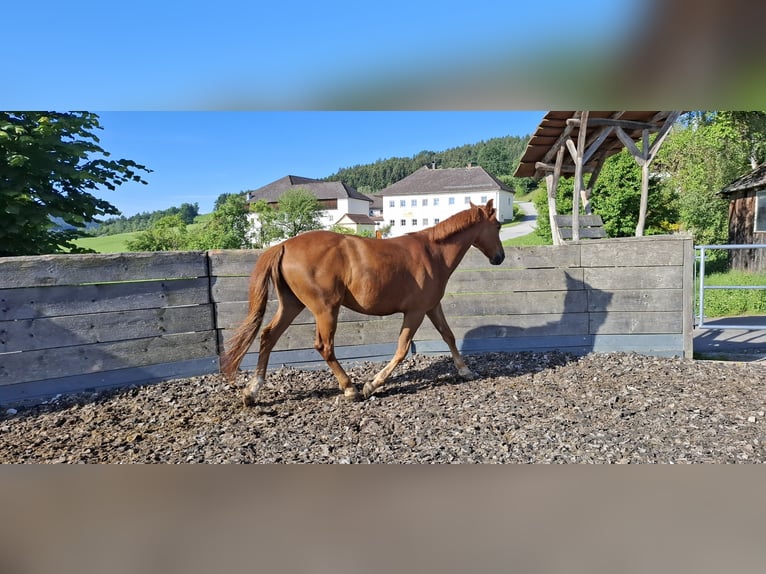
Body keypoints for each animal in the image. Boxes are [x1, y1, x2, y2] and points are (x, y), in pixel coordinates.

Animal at [220, 199, 505, 406]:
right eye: (499, 226)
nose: (499, 258)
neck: (432, 252)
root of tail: (284, 245)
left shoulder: (432, 307)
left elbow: (449, 336)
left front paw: (465, 370)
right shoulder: (415, 312)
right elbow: (402, 349)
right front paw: (372, 384)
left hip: (291, 305)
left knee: (268, 336)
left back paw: (252, 391)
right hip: (326, 309)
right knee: (324, 346)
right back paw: (350, 389)